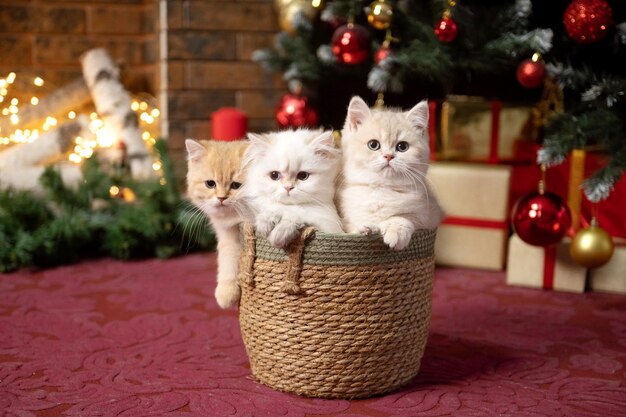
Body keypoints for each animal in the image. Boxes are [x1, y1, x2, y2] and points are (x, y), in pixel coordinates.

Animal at [184, 138, 247, 308]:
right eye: (210, 184)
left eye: (237, 185)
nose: (221, 198)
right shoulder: (228, 236)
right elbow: (227, 259)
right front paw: (227, 291)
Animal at [336, 96, 444, 249]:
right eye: (373, 145)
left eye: (402, 146)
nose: (388, 156)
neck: (382, 189)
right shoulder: (345, 217)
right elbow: (350, 227)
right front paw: (366, 228)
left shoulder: (431, 214)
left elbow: (405, 216)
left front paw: (396, 231)